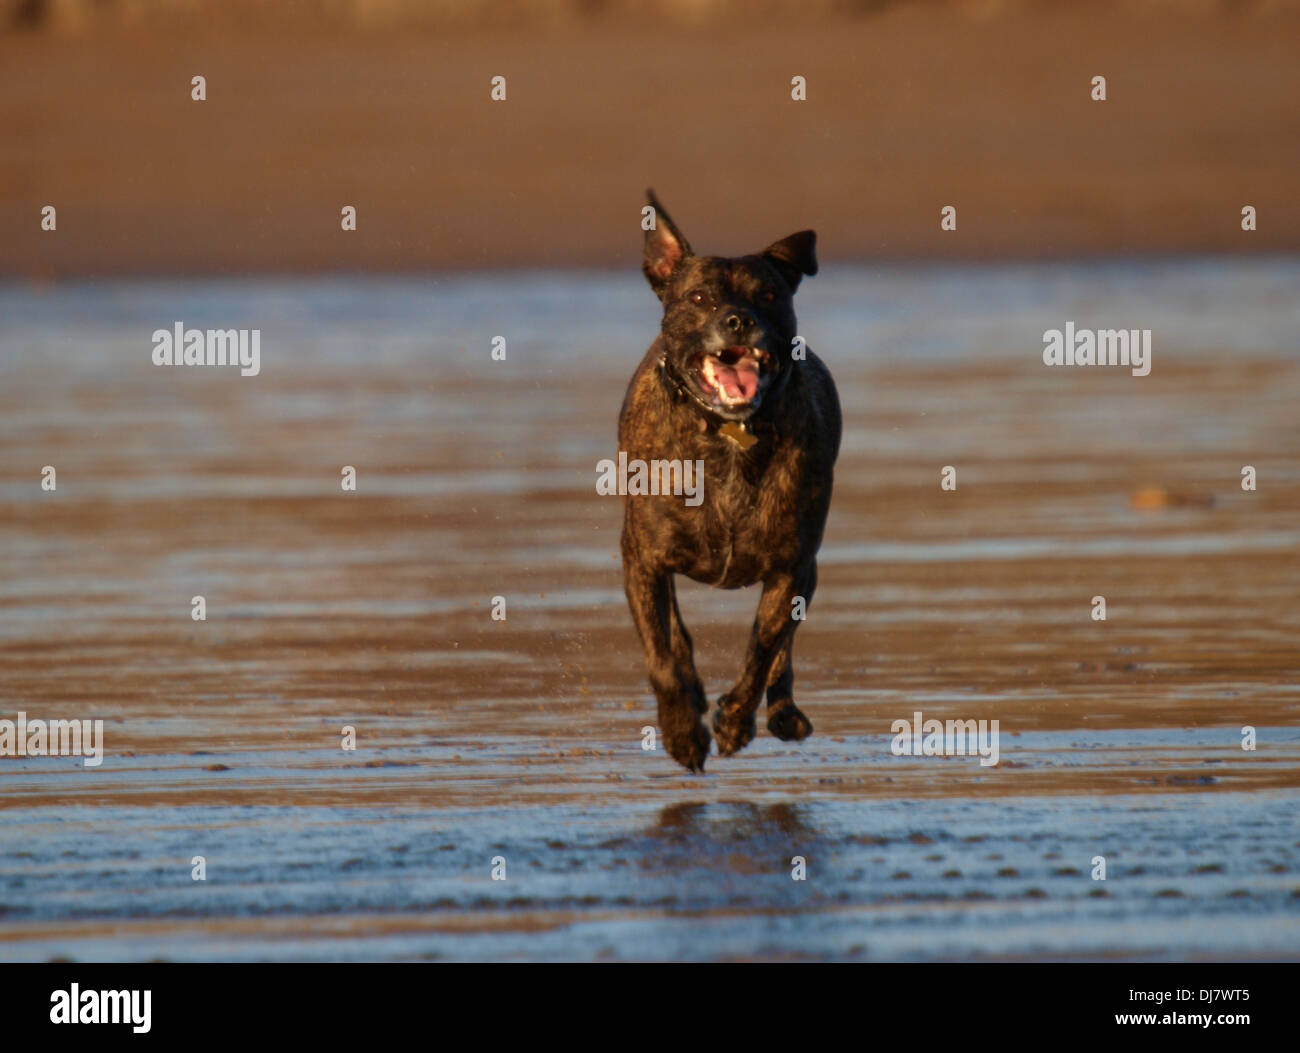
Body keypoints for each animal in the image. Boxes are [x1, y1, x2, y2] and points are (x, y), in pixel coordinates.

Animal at [618, 192, 842, 769]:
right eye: (698, 296)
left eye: (769, 295)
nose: (739, 320)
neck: (728, 432)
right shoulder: (643, 560)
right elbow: (662, 654)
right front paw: (682, 729)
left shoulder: (790, 567)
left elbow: (762, 652)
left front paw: (736, 722)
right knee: (678, 640)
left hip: (808, 571)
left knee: (781, 655)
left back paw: (784, 713)